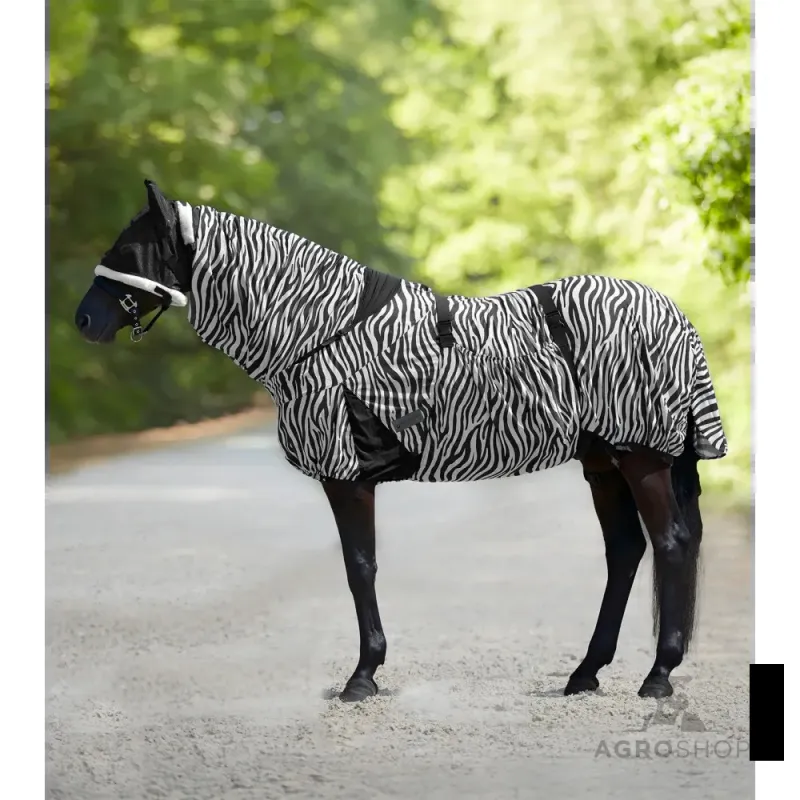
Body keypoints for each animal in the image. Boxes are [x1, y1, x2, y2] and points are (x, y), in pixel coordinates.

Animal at [75, 180, 728, 703]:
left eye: (128, 251)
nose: (84, 321)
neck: (319, 331)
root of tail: (674, 314)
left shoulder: (346, 475)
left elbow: (359, 567)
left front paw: (362, 677)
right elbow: (360, 567)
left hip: (641, 458)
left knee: (670, 544)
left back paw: (657, 677)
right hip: (604, 463)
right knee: (626, 551)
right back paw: (585, 673)